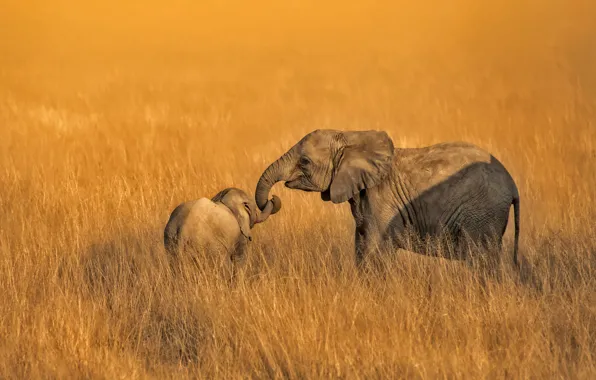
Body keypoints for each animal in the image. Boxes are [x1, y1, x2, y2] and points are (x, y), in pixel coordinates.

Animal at [254, 130, 520, 268]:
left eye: (305, 162)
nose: (273, 199)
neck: (350, 137)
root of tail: (512, 184)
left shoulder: (382, 199)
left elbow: (374, 249)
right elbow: (361, 245)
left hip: (482, 213)